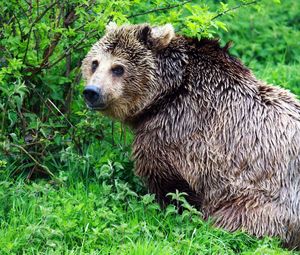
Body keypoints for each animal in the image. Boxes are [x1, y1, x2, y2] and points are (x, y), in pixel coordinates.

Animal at [81, 22, 300, 248]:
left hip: (262, 199)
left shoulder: (178, 129)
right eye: (95, 63)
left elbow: (170, 184)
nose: (91, 91)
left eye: (118, 68)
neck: (166, 94)